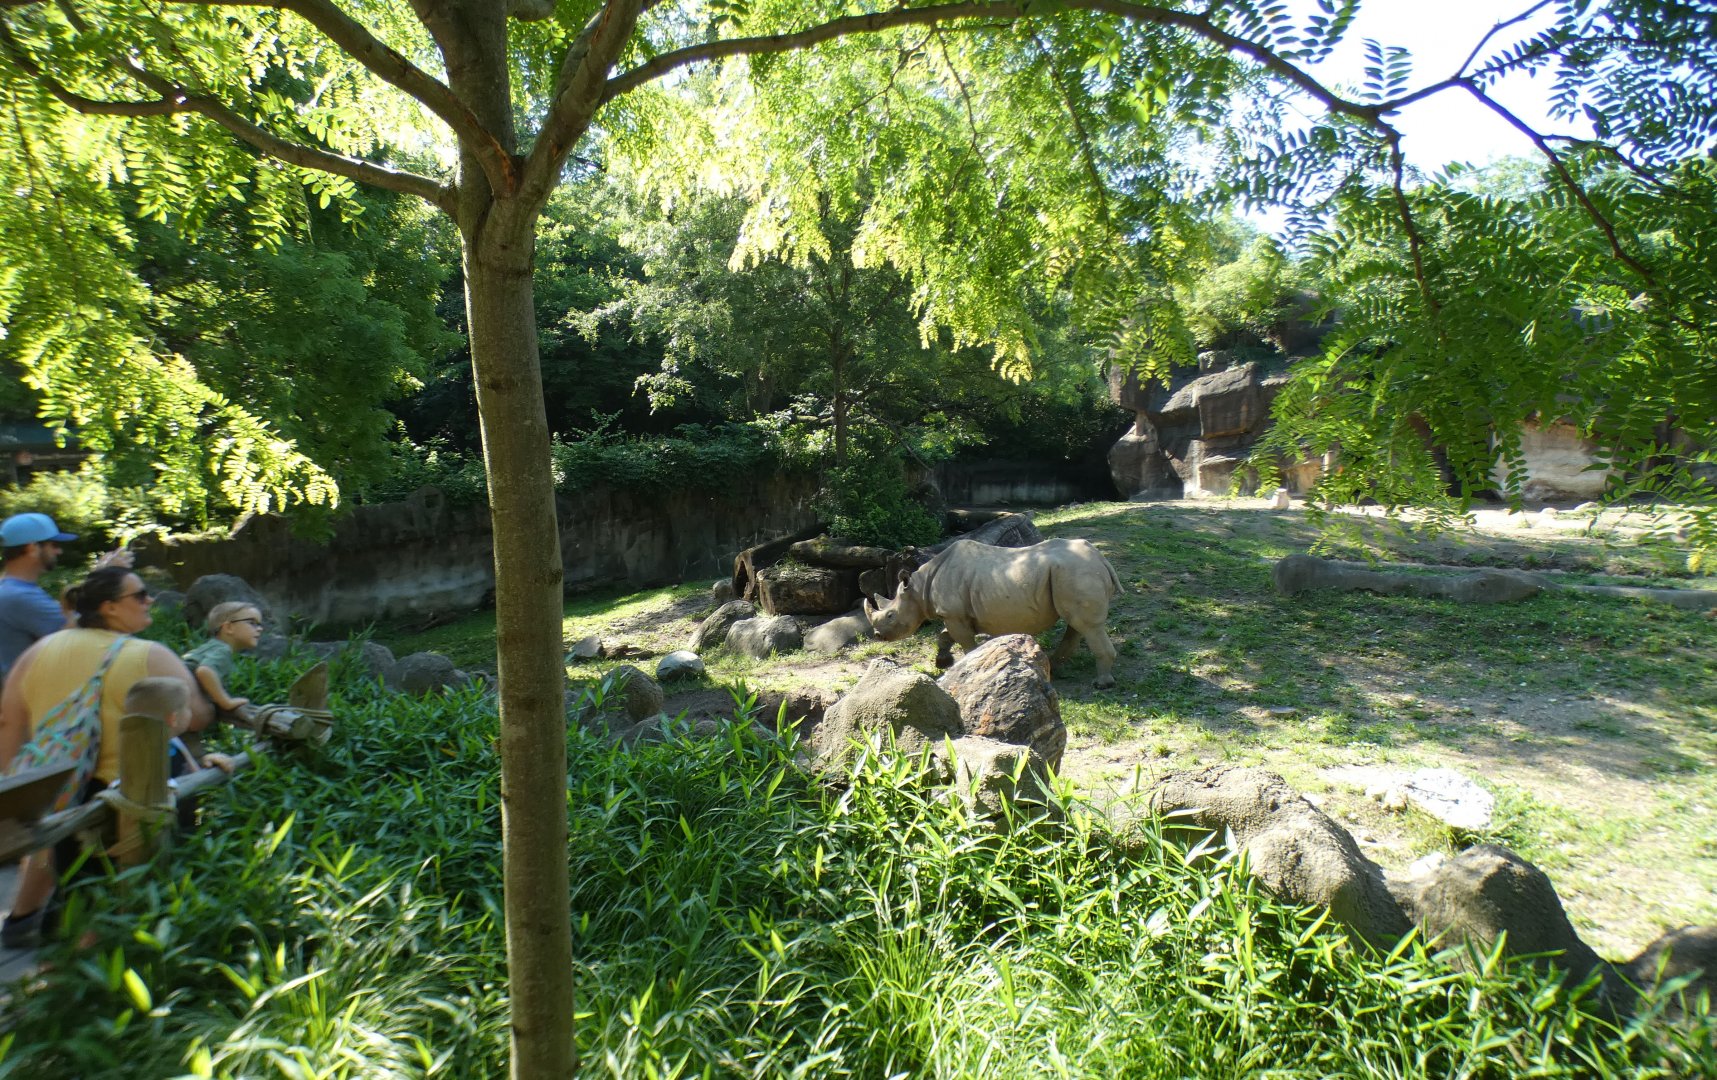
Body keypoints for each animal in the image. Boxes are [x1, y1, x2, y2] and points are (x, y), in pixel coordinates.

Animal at [863, 537, 1123, 688]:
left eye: (890, 616)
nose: (877, 636)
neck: (919, 589)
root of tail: (1101, 559)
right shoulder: (955, 614)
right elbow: (944, 636)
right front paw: (942, 662)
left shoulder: (953, 613)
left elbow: (965, 643)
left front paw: (967, 668)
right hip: (1073, 573)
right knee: (1076, 623)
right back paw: (1053, 666)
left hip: (1076, 571)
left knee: (1087, 625)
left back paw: (1102, 684)